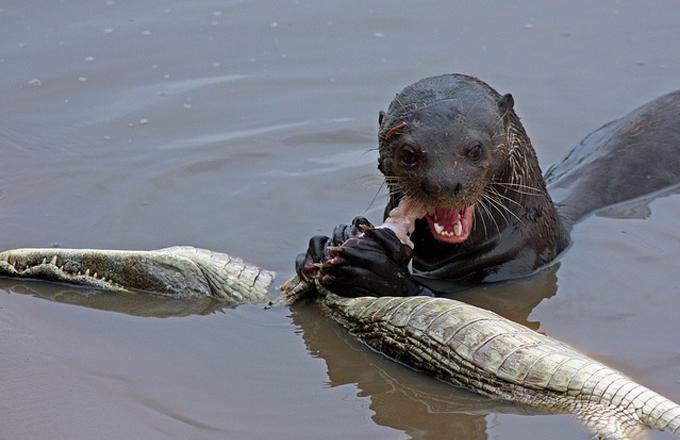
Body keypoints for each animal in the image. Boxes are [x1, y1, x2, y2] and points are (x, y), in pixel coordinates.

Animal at [294, 74, 680, 298]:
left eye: (474, 148)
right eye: (408, 154)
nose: (444, 184)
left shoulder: (521, 265)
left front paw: (375, 270)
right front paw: (327, 242)